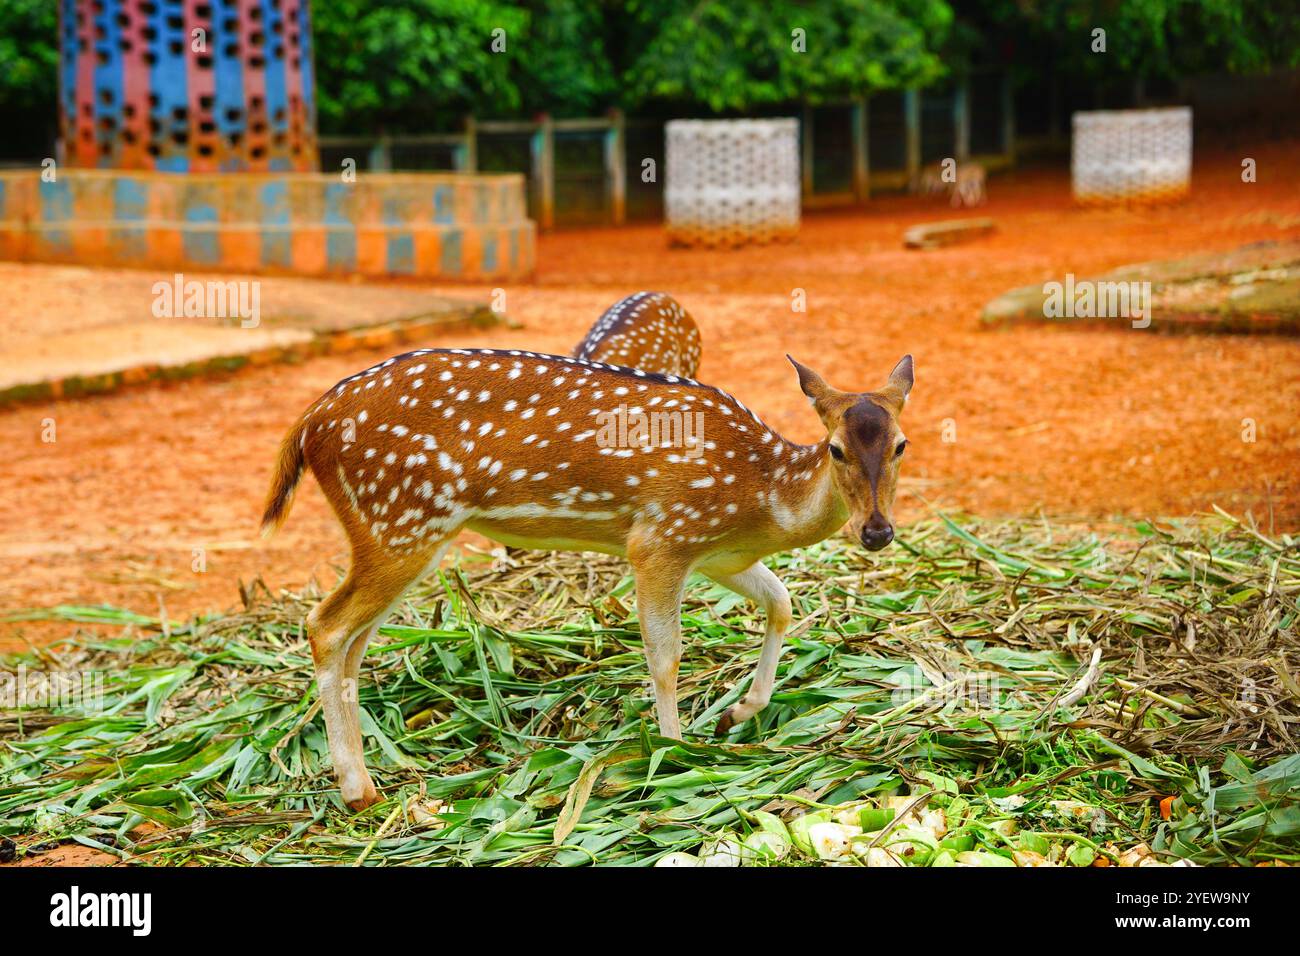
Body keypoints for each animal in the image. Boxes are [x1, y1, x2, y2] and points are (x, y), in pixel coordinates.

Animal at [261, 348, 915, 811]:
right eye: (834, 449)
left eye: (903, 445)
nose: (877, 531)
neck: (761, 501)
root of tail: (308, 425)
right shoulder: (660, 539)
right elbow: (665, 655)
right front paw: (677, 752)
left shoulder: (718, 555)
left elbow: (781, 602)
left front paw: (736, 713)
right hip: (402, 522)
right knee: (325, 626)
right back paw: (356, 790)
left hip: (390, 533)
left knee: (352, 643)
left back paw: (371, 780)